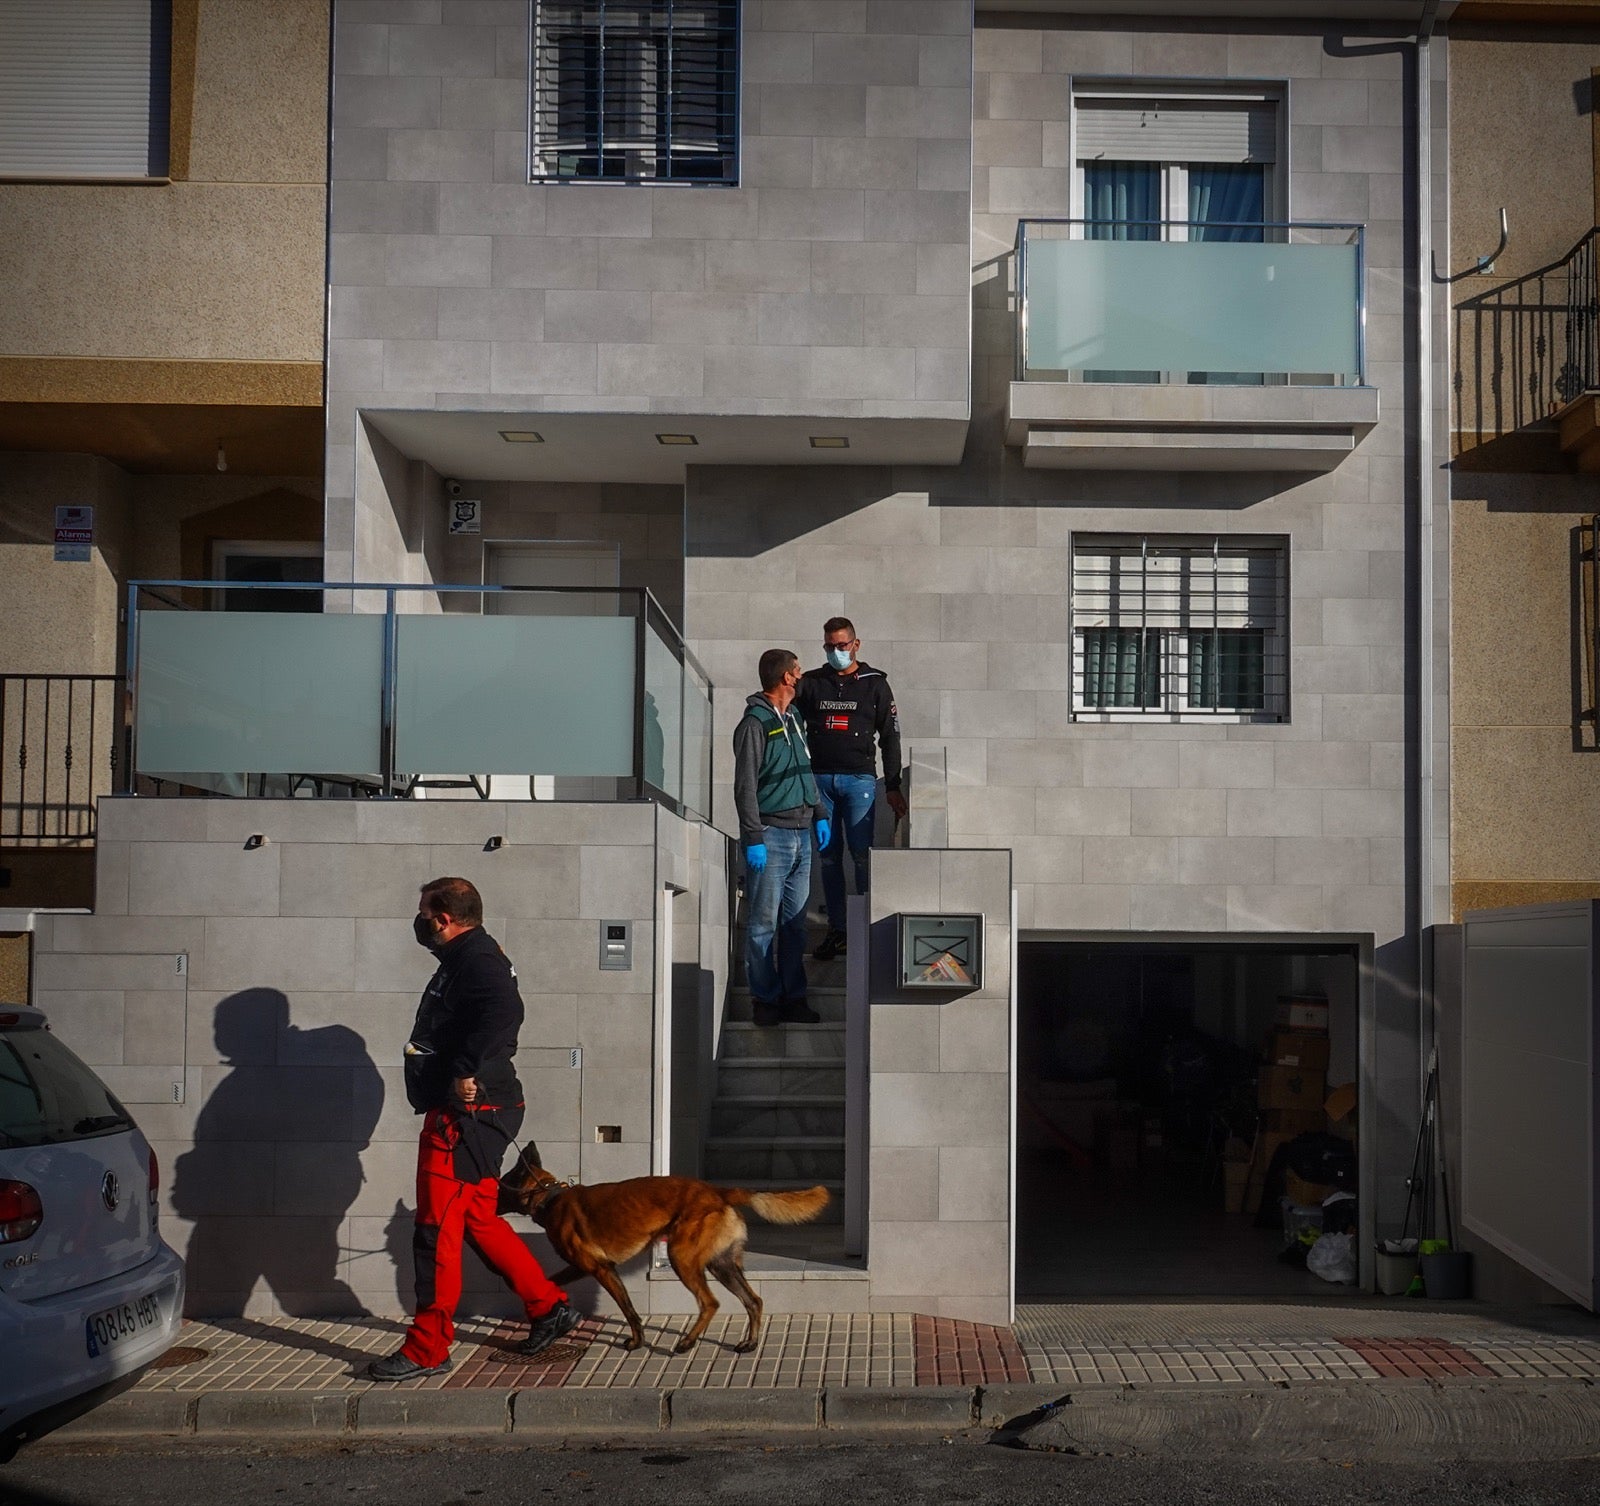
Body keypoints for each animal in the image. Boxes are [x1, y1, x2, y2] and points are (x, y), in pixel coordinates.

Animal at [496, 1139, 825, 1350]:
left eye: (500, 1186)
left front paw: (636, 1342)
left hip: (681, 1257)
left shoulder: (601, 1268)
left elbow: (629, 1310)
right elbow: (551, 1281)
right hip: (722, 1265)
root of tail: (719, 1192)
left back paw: (688, 1342)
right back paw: (750, 1342)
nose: (487, 1197)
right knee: (753, 1301)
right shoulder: (584, 1267)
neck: (550, 1198)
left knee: (710, 1302)